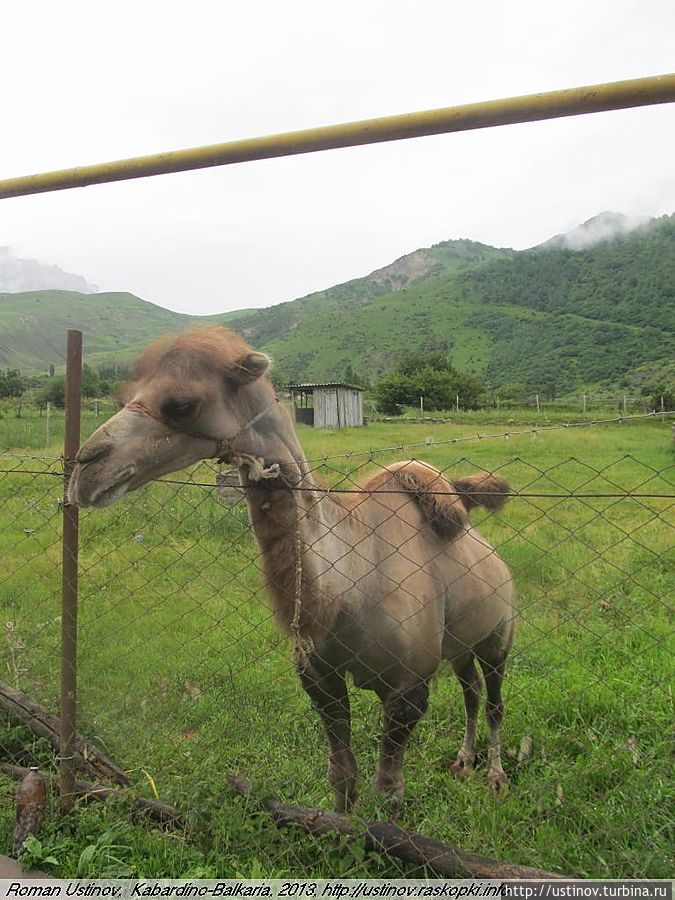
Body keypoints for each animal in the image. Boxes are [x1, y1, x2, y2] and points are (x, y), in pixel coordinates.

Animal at [68, 326, 516, 812]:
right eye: (125, 395)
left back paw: (495, 776)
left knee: (493, 699)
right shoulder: (319, 677)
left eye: (182, 403)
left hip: (499, 636)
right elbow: (342, 774)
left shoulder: (408, 685)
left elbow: (389, 791)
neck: (349, 585)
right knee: (471, 690)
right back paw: (463, 761)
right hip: (461, 643)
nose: (86, 468)